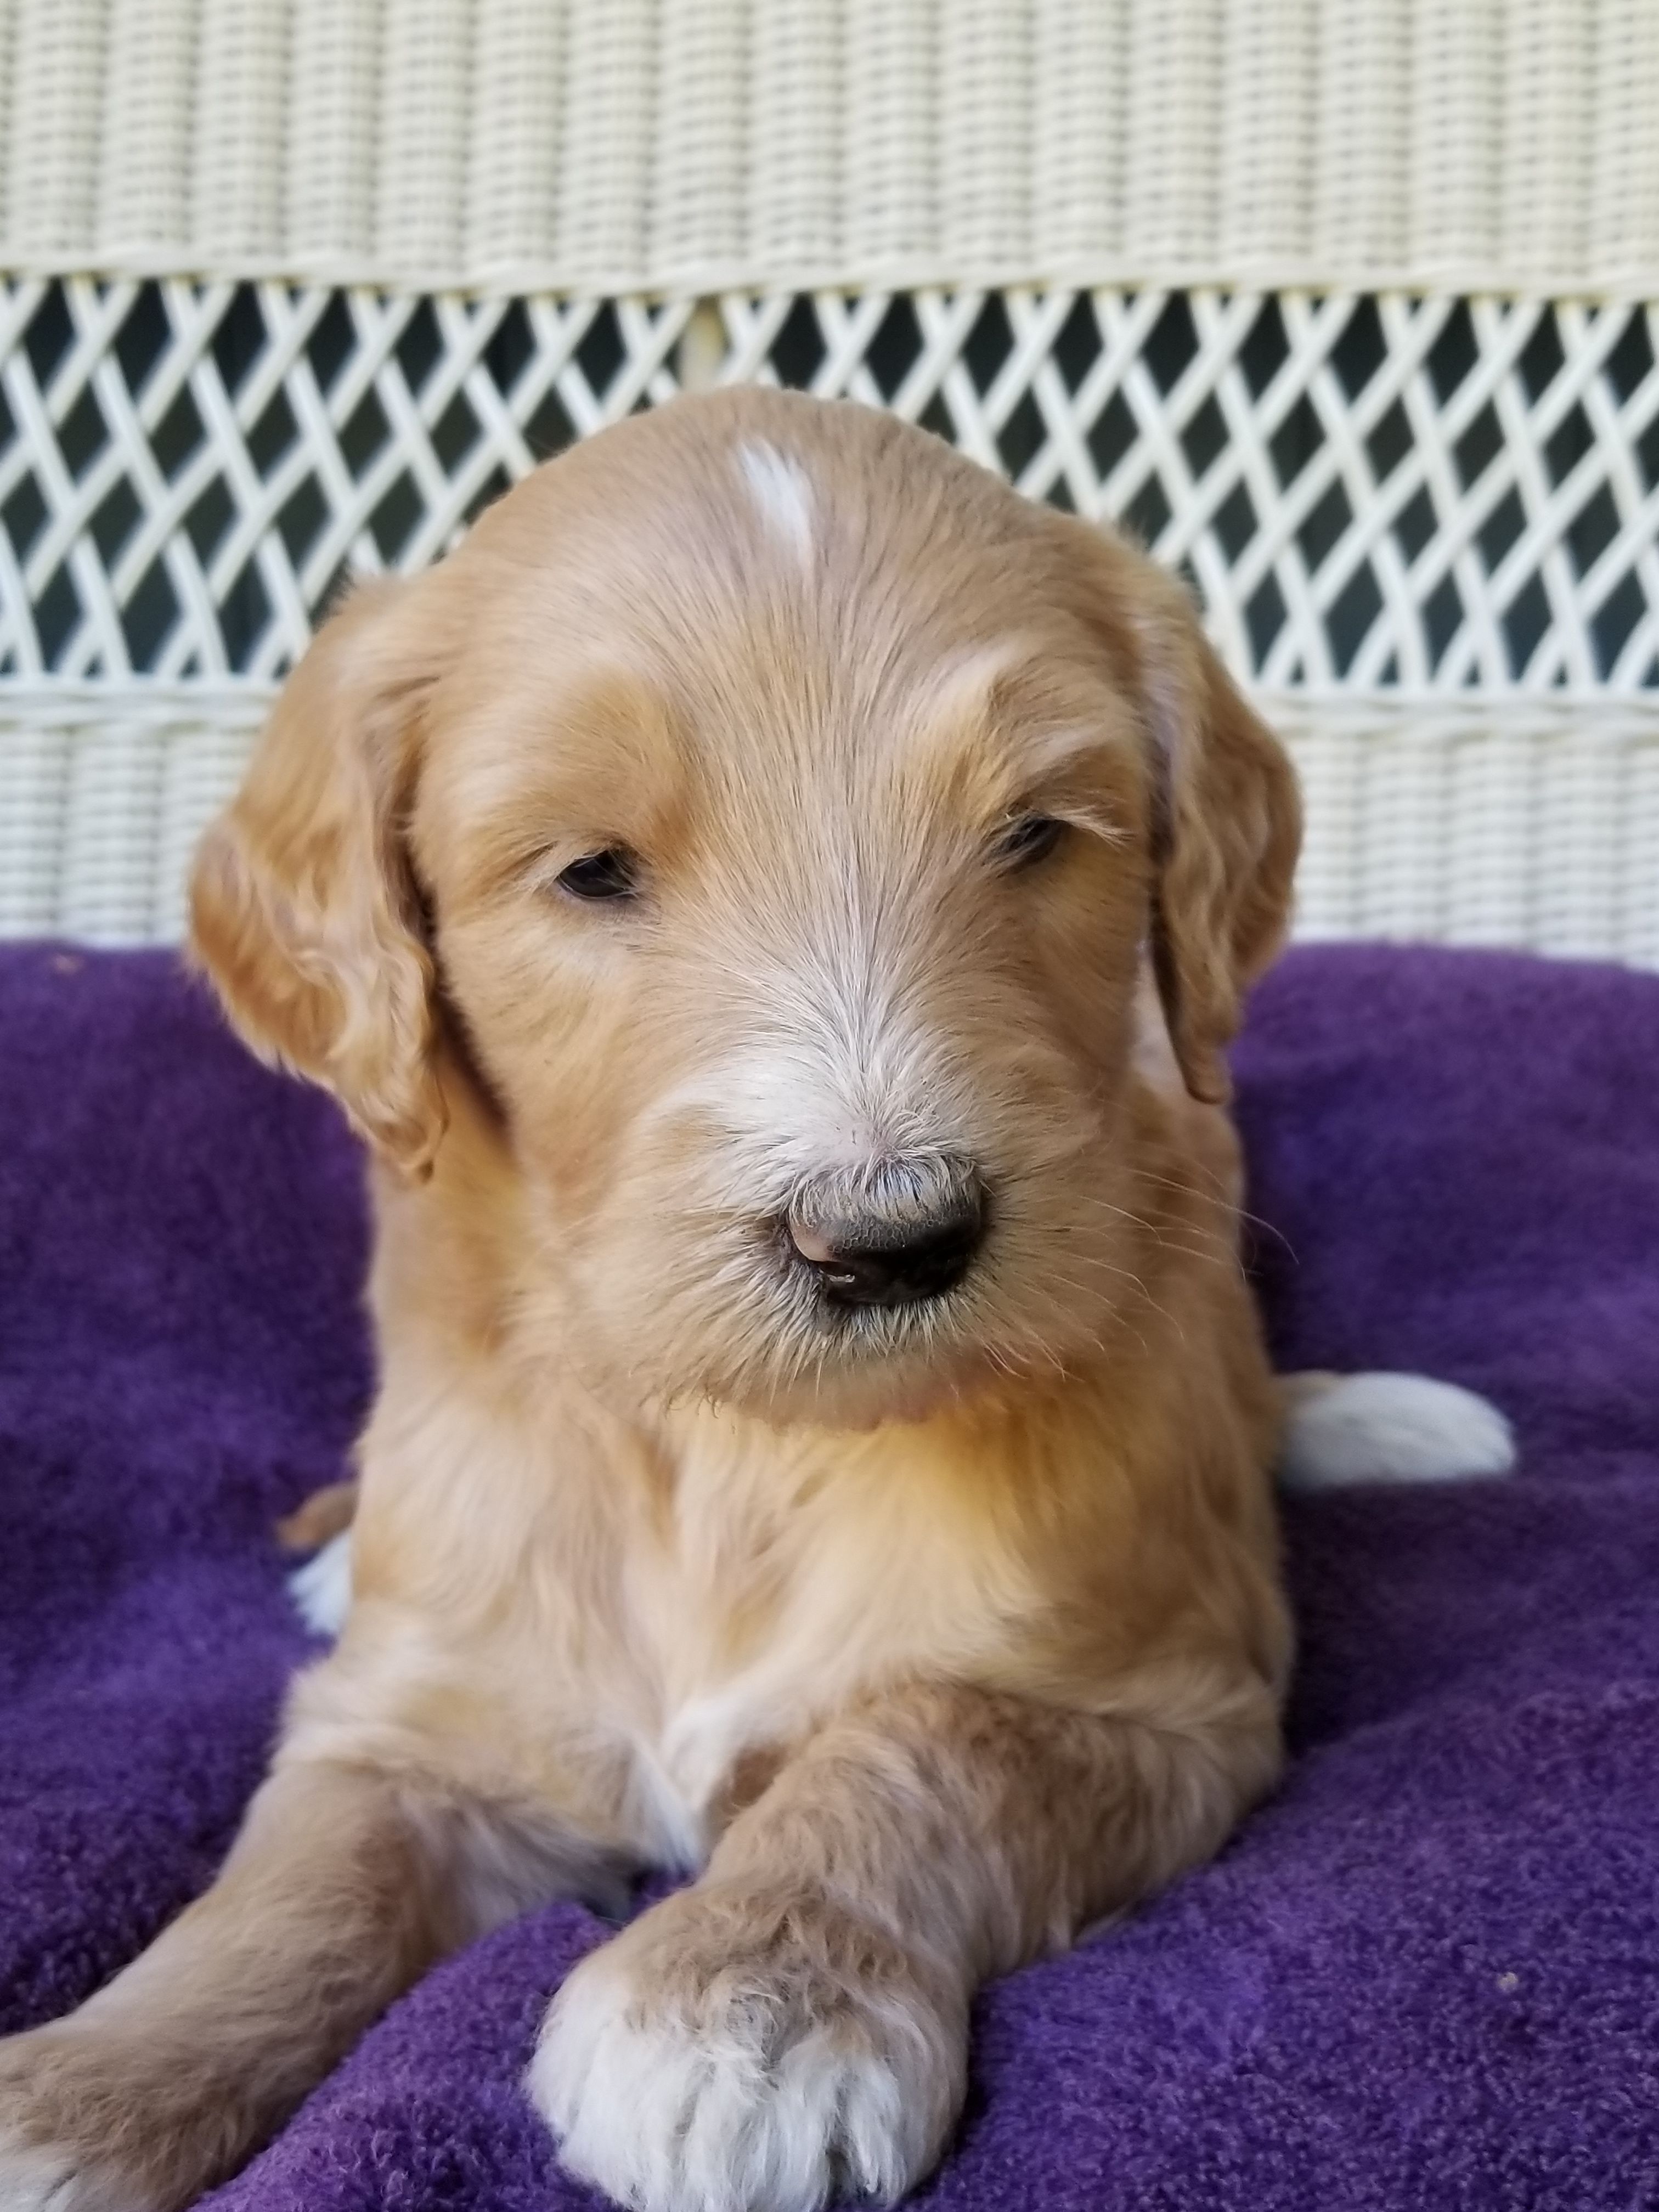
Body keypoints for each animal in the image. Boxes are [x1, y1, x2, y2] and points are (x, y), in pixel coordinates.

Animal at [0, 388, 1512, 2212]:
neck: (729, 1446)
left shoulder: (1163, 1706)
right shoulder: (418, 1726)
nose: (889, 1240)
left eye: (1036, 835)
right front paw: (79, 2091)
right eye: (591, 873)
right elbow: (293, 1884)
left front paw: (748, 2006)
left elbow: (927, 1740)